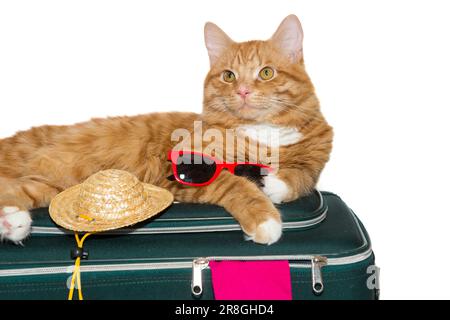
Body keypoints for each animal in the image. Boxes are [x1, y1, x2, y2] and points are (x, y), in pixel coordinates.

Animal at [0, 15, 330, 245]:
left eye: (266, 73)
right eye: (228, 76)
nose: (244, 91)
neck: (262, 135)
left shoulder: (318, 152)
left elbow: (304, 174)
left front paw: (275, 183)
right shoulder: (183, 169)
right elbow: (235, 185)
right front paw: (264, 219)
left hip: (46, 186)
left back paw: (12, 222)